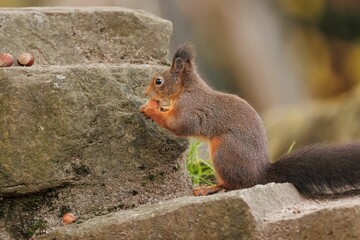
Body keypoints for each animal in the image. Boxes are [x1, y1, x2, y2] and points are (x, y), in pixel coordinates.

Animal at [139, 43, 360, 197]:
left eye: (158, 81)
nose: (145, 92)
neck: (186, 89)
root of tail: (259, 175)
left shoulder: (191, 110)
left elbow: (178, 125)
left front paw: (150, 109)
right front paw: (159, 106)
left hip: (223, 152)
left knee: (233, 184)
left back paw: (209, 188)